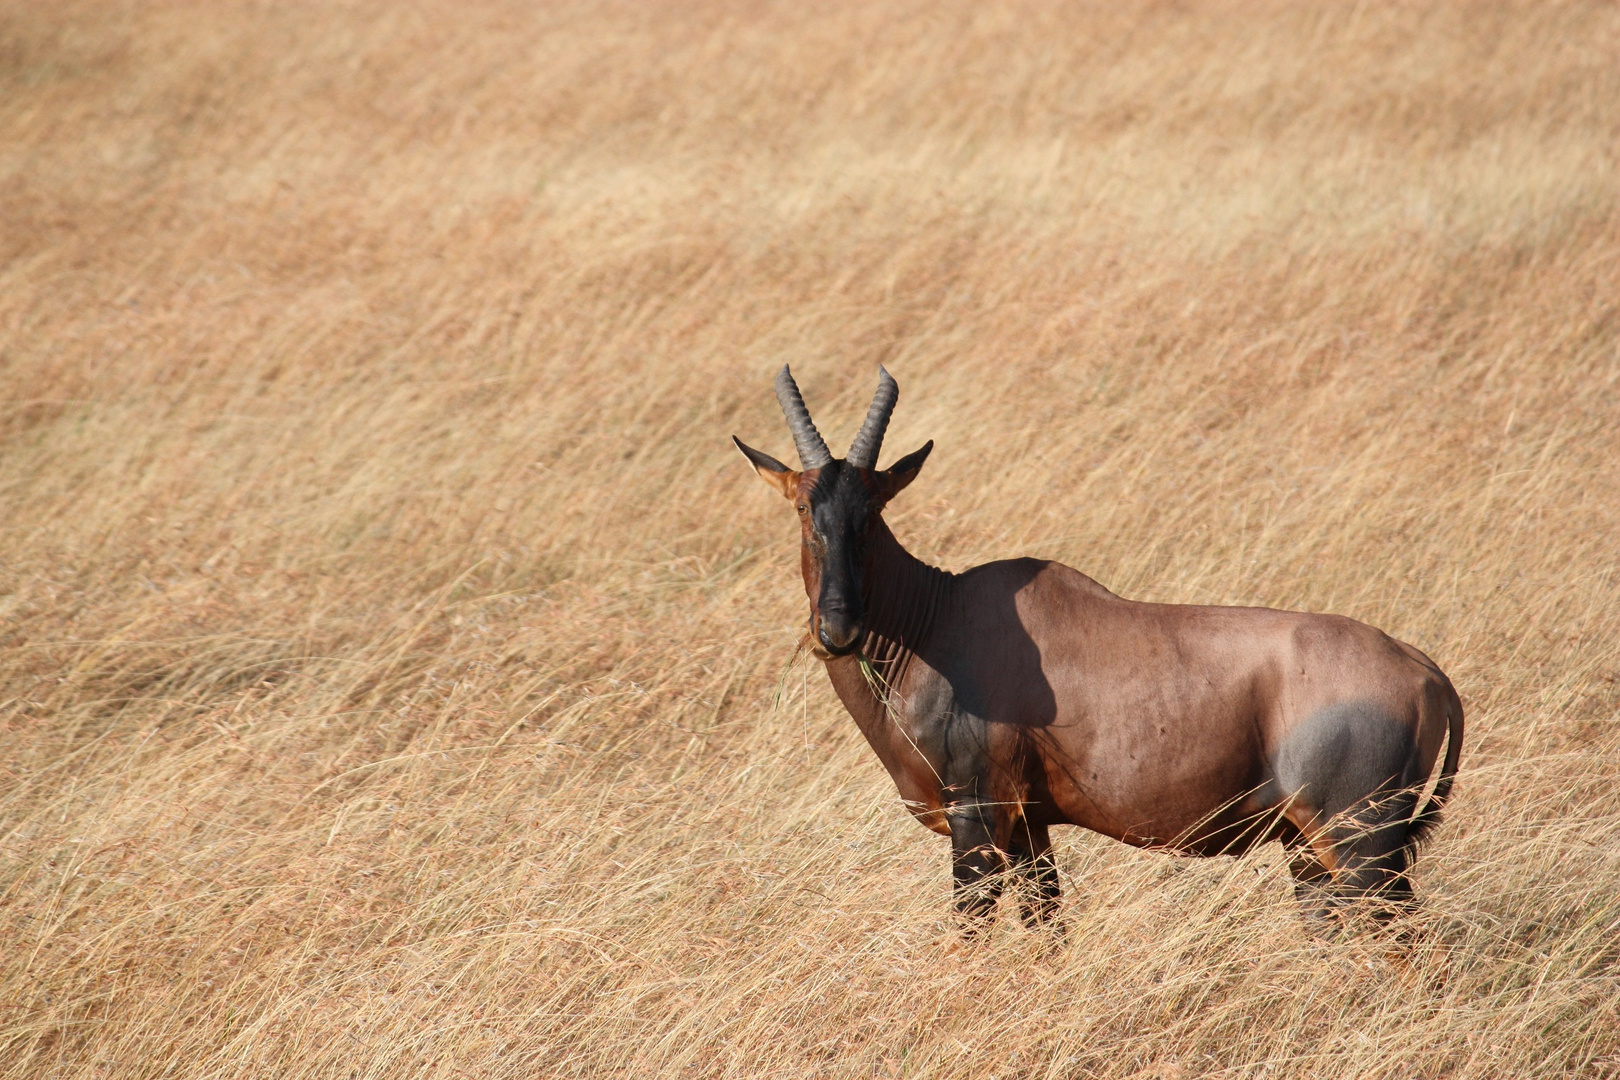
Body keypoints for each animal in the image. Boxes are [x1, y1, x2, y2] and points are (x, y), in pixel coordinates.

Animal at [738, 367, 1470, 932]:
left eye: (875, 511)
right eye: (804, 509)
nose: (836, 630)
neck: (939, 618)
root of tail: (1424, 670)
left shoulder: (979, 819)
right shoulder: (1028, 826)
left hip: (1362, 848)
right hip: (1308, 852)